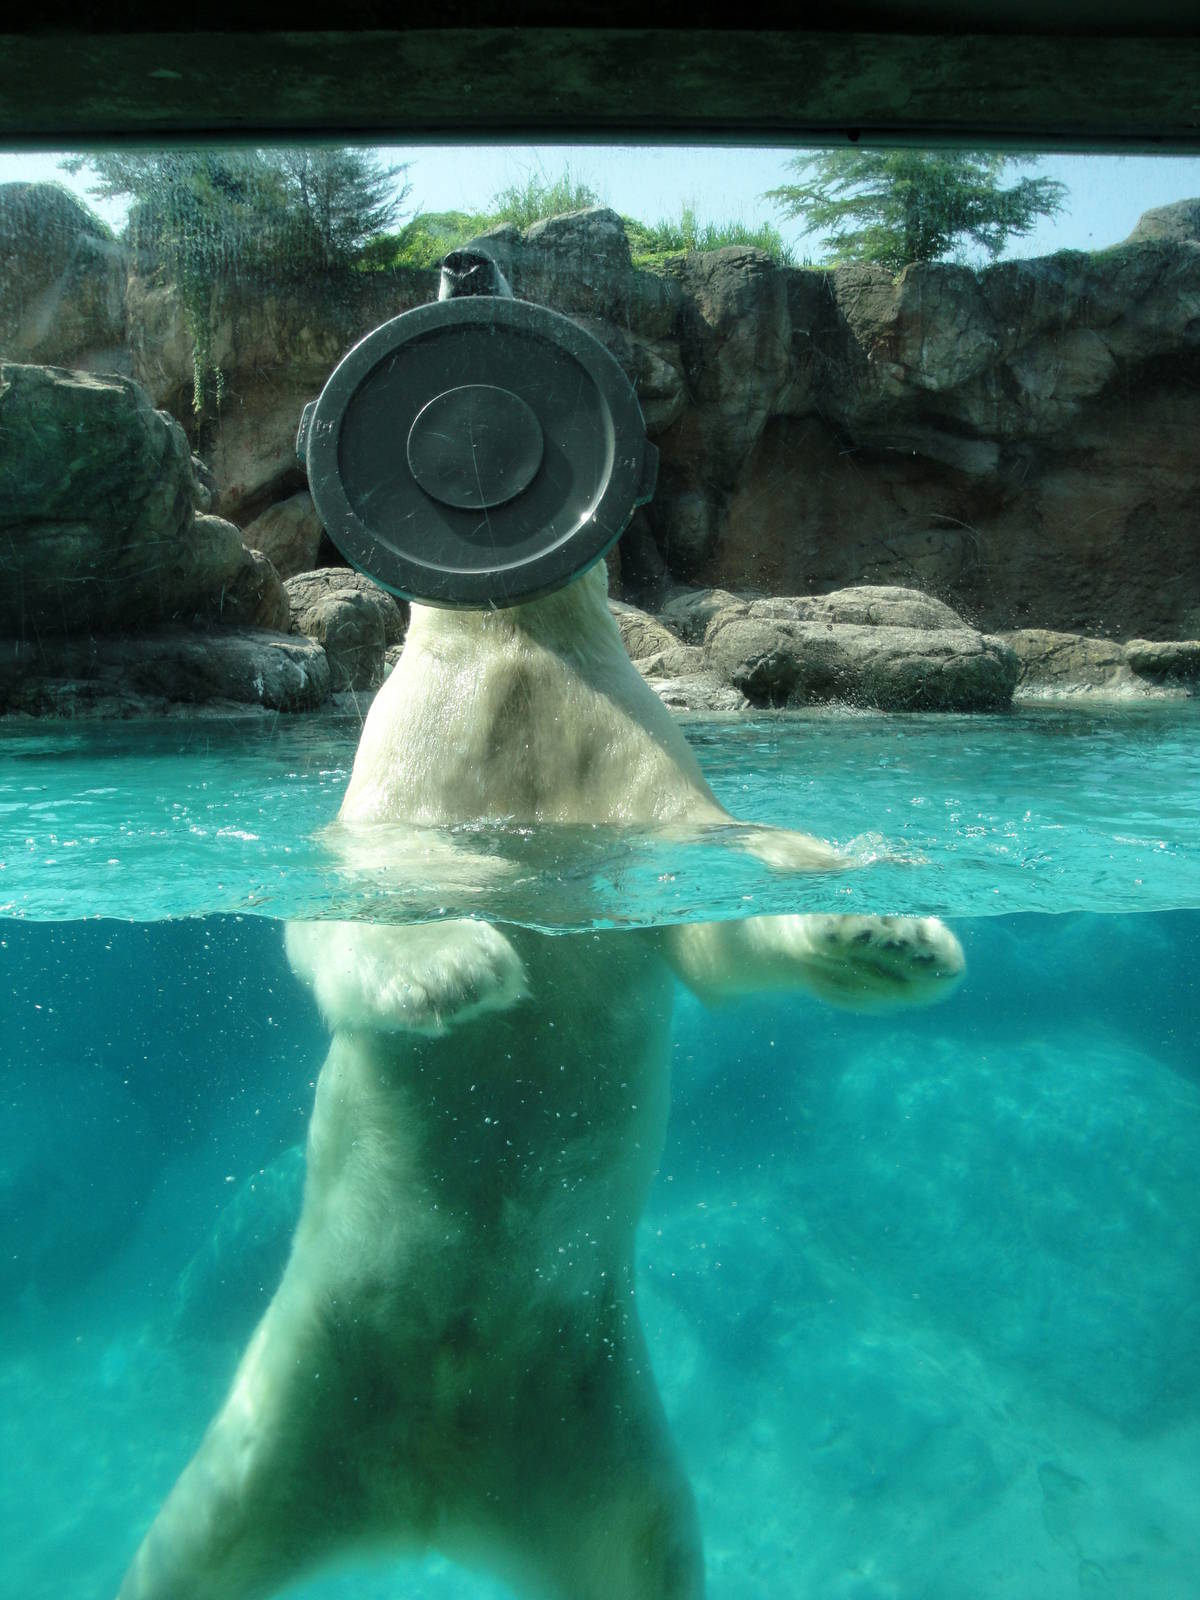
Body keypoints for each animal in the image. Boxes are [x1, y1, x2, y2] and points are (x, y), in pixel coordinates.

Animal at [116, 570, 964, 1597]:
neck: (517, 658)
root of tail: (431, 1488)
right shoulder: (409, 757)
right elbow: (362, 890)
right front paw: (450, 966)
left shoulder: (631, 756)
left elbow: (711, 904)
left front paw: (886, 932)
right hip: (296, 1387)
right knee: (191, 1542)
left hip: (598, 1428)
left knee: (643, 1549)